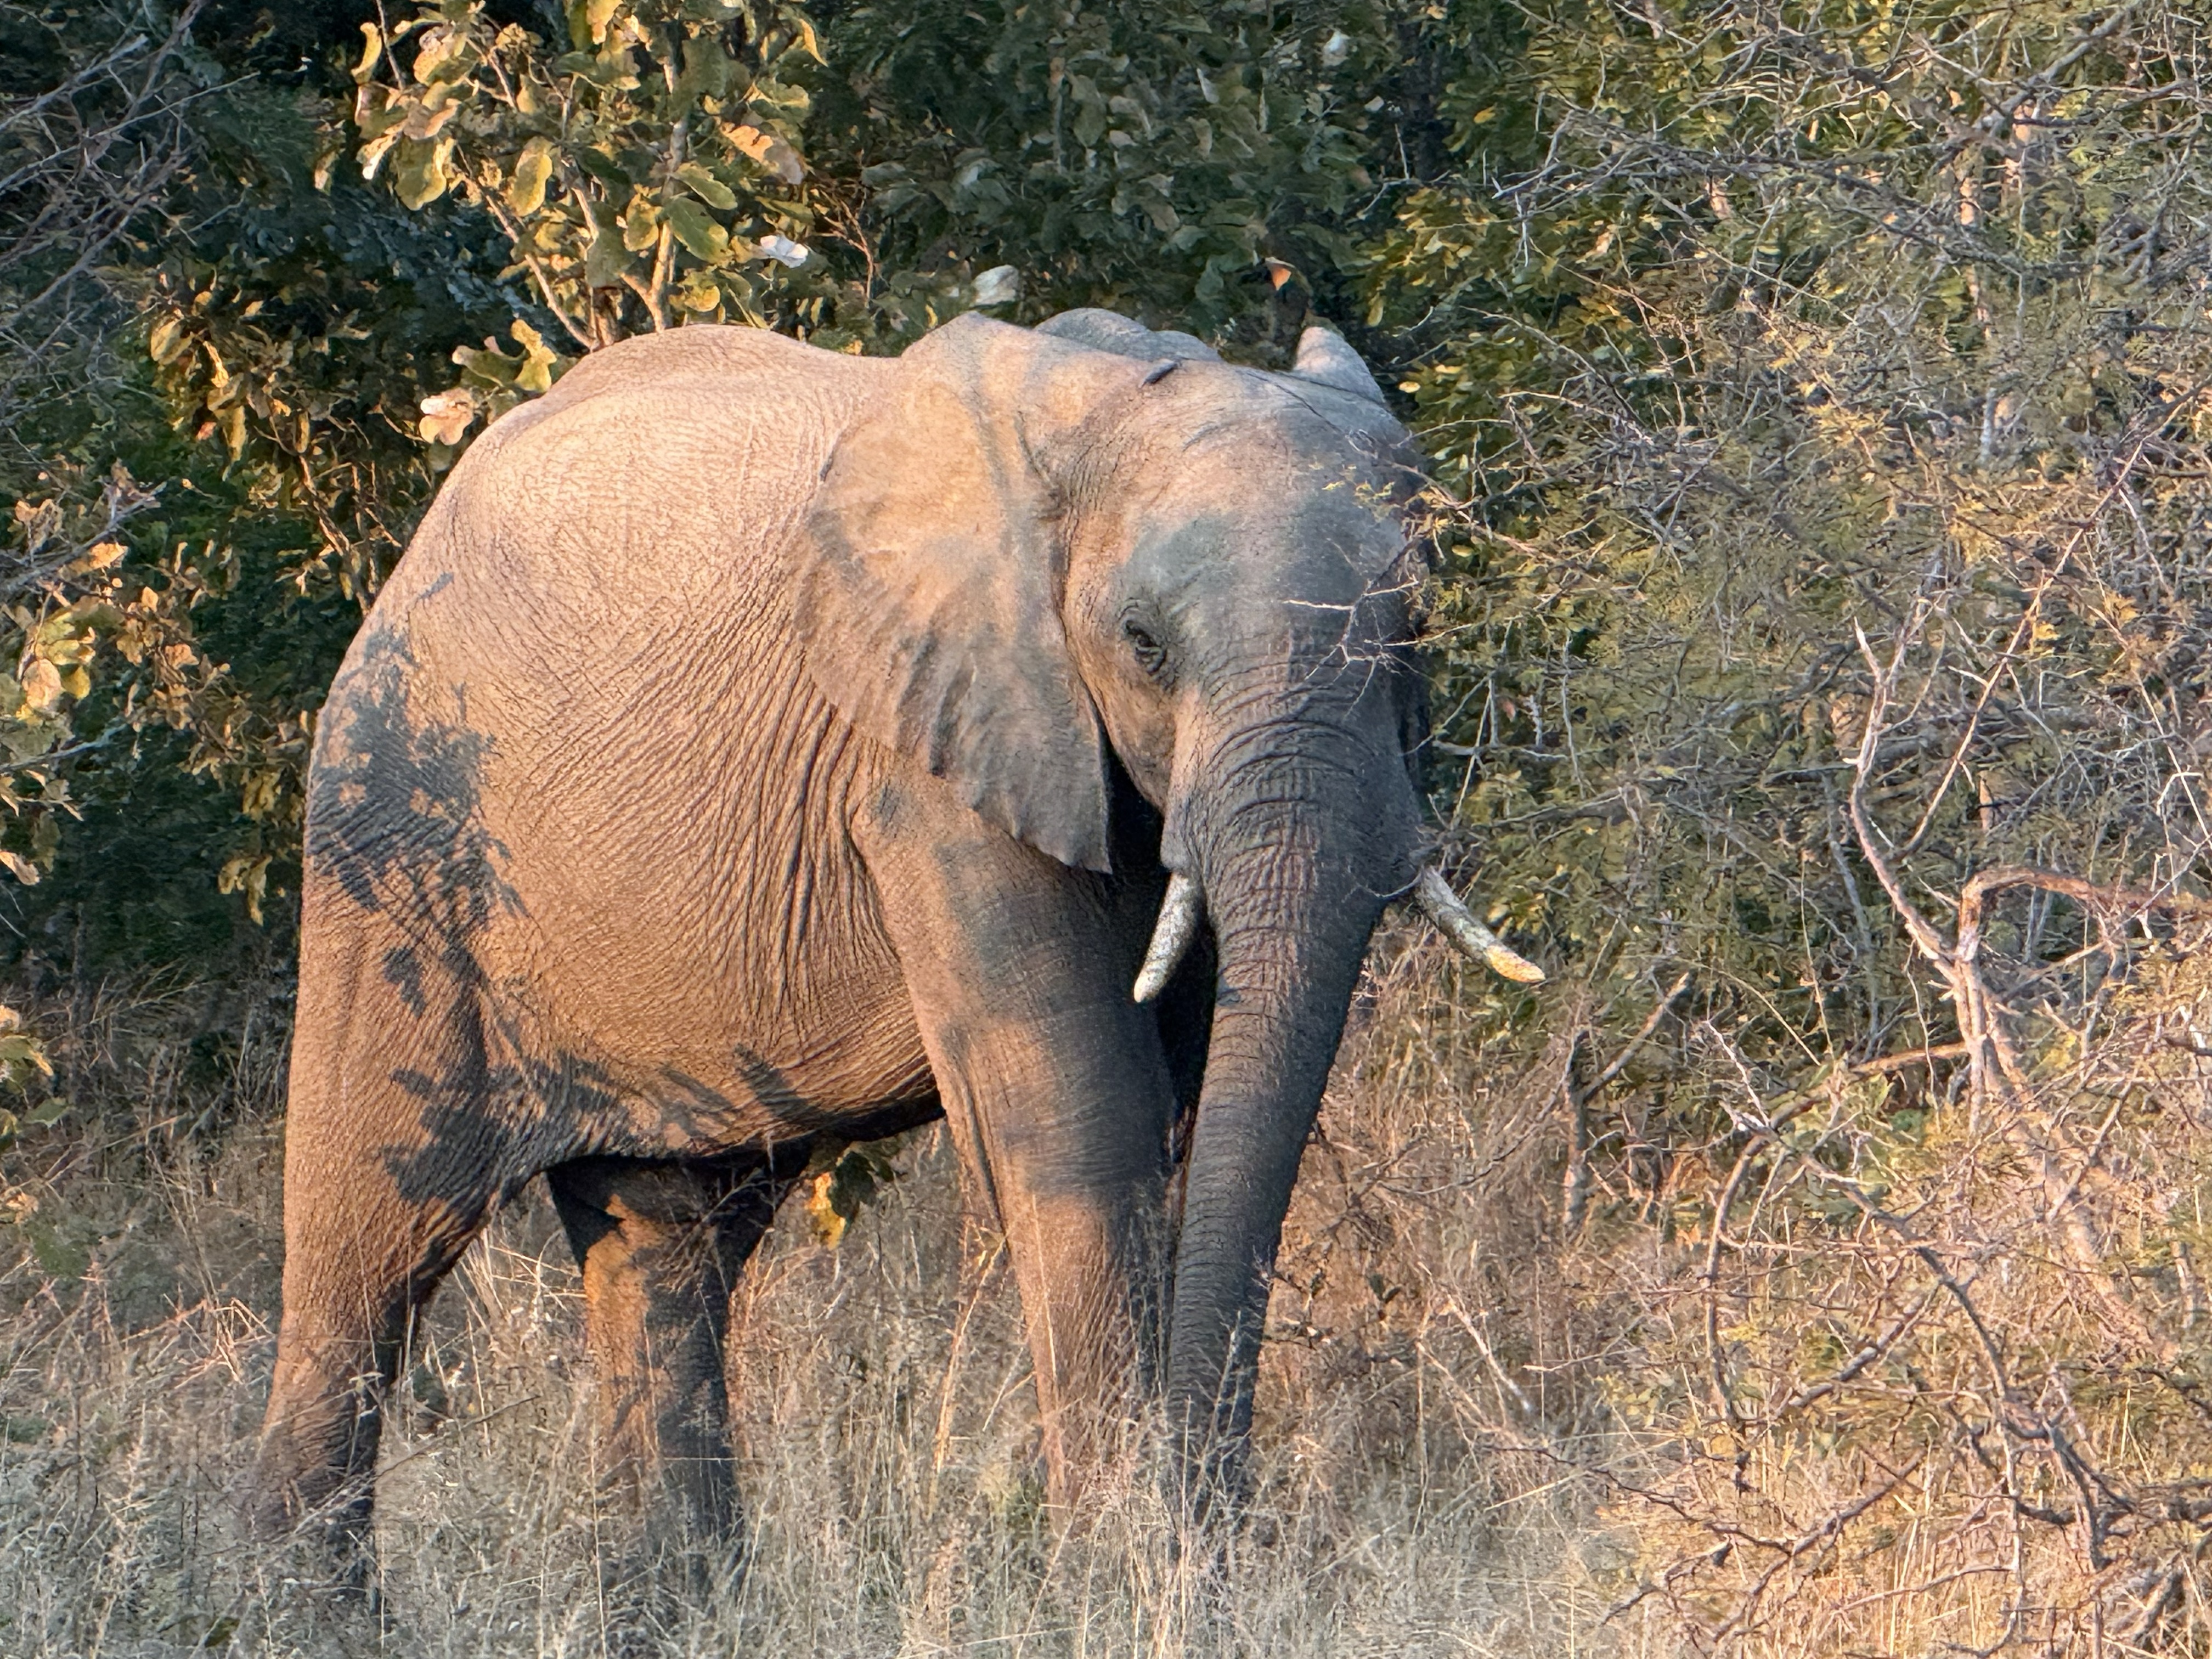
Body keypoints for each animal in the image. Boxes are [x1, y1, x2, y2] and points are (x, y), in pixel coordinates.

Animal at [248, 304, 1537, 1557]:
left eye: (1417, 626)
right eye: (1143, 644)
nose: (1230, 1521)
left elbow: (1186, 1107)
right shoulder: (928, 761)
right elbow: (1085, 1122)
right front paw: (1137, 1568)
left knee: (666, 1248)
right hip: (394, 845)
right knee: (366, 1256)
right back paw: (287, 1594)